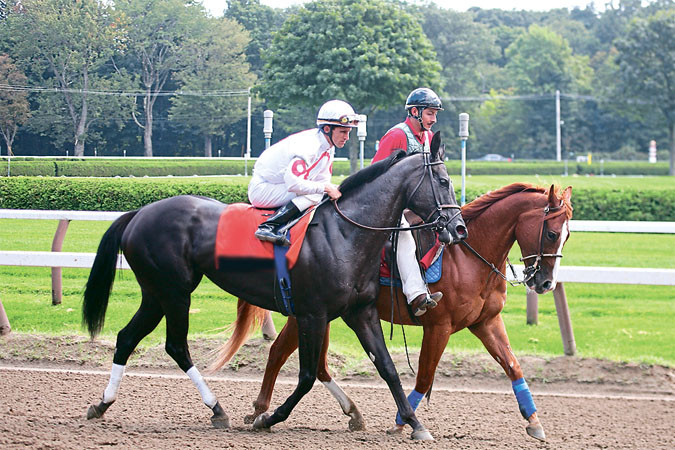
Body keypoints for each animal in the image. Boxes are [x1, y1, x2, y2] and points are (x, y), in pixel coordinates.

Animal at [81, 131, 467, 441]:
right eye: (443, 181)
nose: (459, 229)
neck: (346, 233)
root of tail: (139, 213)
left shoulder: (360, 312)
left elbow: (387, 368)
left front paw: (416, 424)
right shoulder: (313, 314)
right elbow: (307, 375)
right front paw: (267, 419)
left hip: (156, 293)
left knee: (127, 337)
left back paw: (102, 403)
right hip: (175, 292)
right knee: (176, 345)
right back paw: (217, 409)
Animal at [212, 182, 573, 441]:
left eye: (568, 235)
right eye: (552, 232)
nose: (545, 282)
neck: (468, 256)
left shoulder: (486, 322)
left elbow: (513, 367)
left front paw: (534, 422)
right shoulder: (439, 326)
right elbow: (425, 377)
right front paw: (403, 422)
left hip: (324, 314)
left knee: (317, 364)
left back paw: (348, 413)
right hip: (311, 313)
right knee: (279, 353)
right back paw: (260, 410)